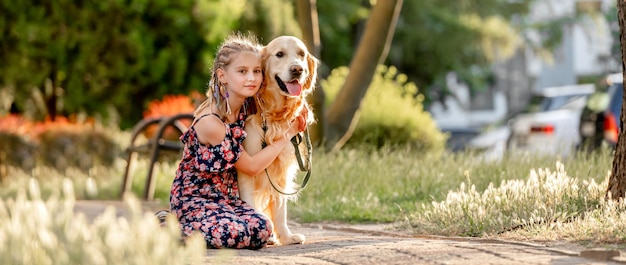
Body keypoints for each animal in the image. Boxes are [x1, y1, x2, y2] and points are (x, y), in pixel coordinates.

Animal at [238, 36, 320, 244]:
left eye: (301, 54)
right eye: (280, 54)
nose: (297, 69)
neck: (275, 115)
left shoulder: (281, 170)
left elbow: (281, 209)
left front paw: (286, 236)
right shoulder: (248, 168)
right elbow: (250, 203)